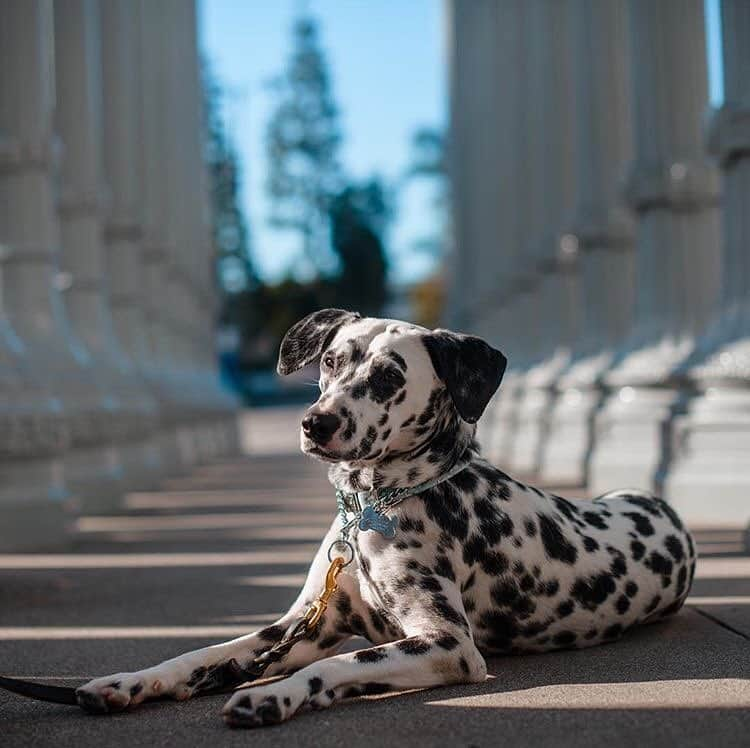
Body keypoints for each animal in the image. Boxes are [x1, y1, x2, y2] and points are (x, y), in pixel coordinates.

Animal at [78, 308, 700, 724]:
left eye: (388, 378)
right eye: (331, 360)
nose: (316, 422)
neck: (372, 510)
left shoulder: (447, 645)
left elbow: (341, 664)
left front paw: (273, 694)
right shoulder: (301, 625)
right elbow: (203, 653)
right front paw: (132, 681)